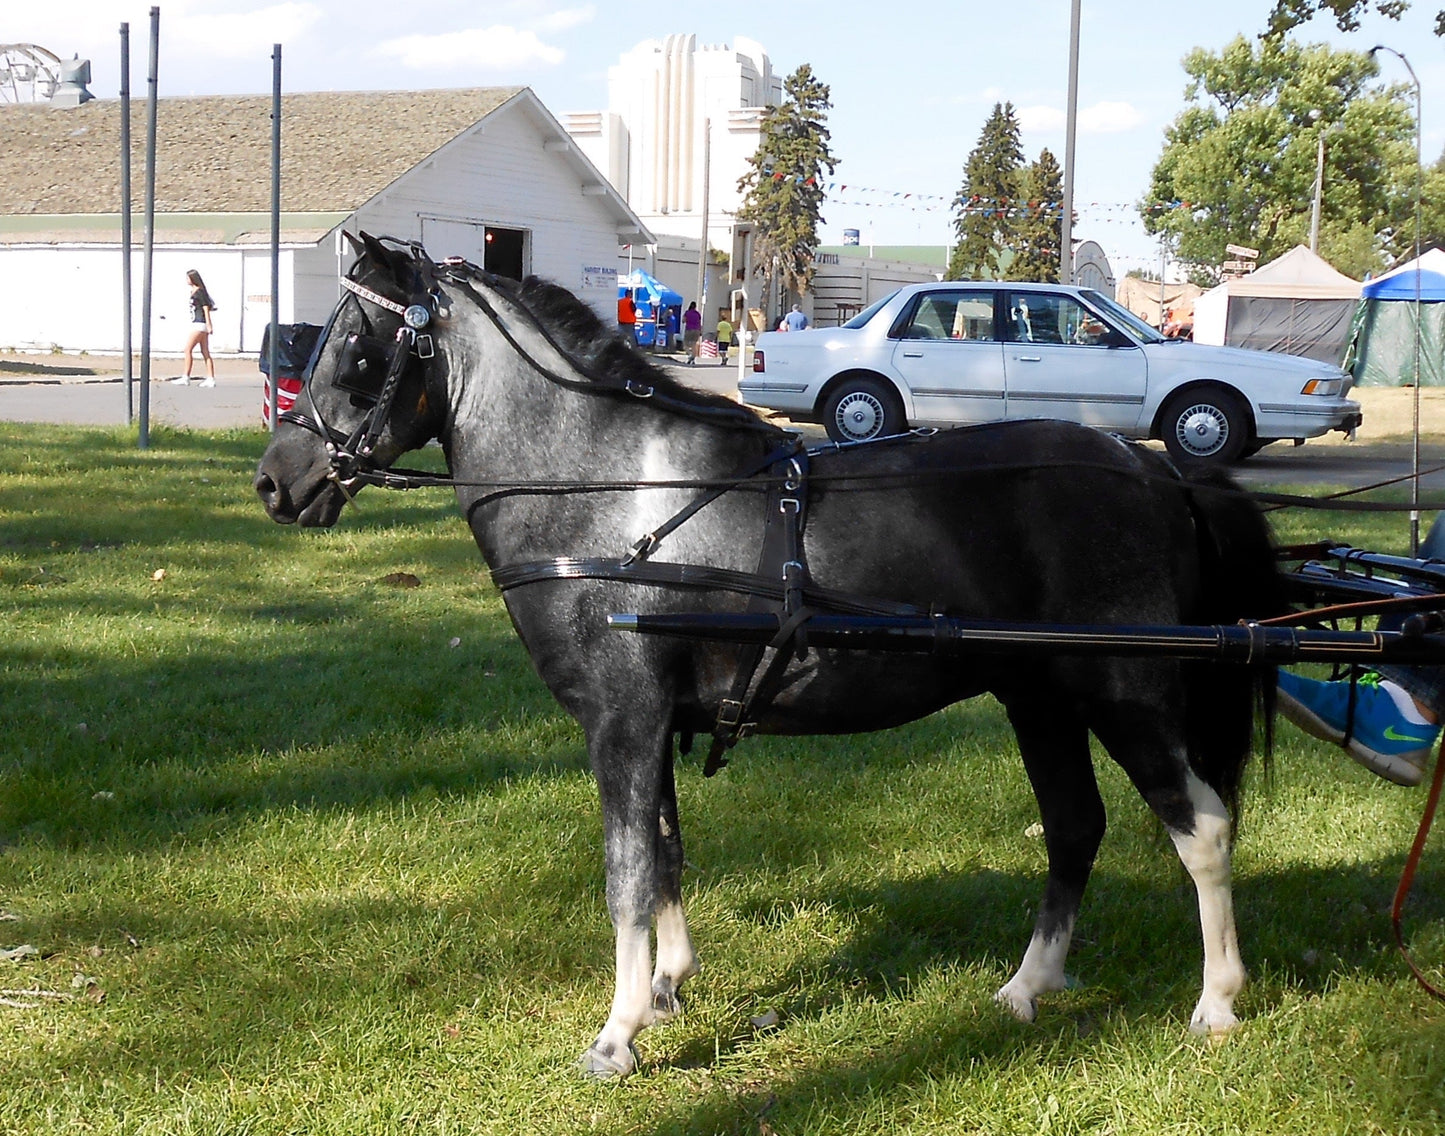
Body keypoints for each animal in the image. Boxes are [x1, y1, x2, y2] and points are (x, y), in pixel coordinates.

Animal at [254, 233, 1282, 1078]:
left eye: (356, 351)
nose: (276, 482)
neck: (605, 493)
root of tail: (1158, 471)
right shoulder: (652, 724)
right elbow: (667, 854)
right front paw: (665, 989)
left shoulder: (621, 722)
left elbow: (626, 875)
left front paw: (616, 1035)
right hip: (1040, 699)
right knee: (1075, 829)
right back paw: (1027, 987)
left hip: (1125, 692)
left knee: (1200, 827)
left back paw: (1216, 1002)